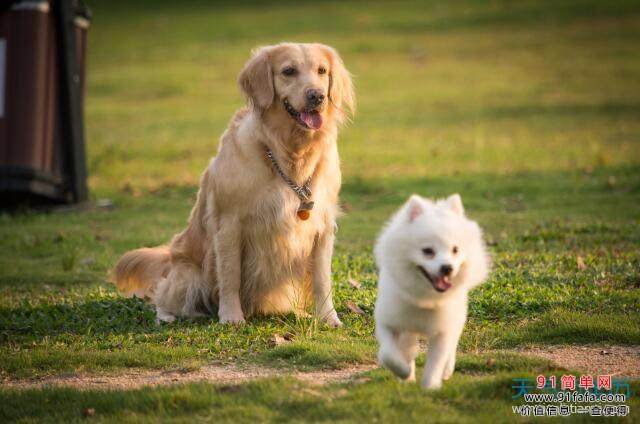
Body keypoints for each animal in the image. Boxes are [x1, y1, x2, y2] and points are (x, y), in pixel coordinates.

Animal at [112, 42, 352, 324]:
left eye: (322, 71)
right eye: (288, 71)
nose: (317, 96)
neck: (288, 155)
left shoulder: (322, 225)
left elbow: (322, 279)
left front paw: (328, 318)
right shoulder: (229, 223)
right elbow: (230, 276)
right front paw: (231, 316)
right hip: (187, 276)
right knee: (163, 294)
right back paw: (168, 316)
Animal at [372, 194, 488, 390]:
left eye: (455, 250)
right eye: (428, 251)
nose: (447, 268)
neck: (425, 299)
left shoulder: (443, 331)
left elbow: (436, 362)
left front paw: (430, 388)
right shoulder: (388, 322)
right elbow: (389, 354)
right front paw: (404, 371)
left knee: (452, 346)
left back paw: (447, 370)